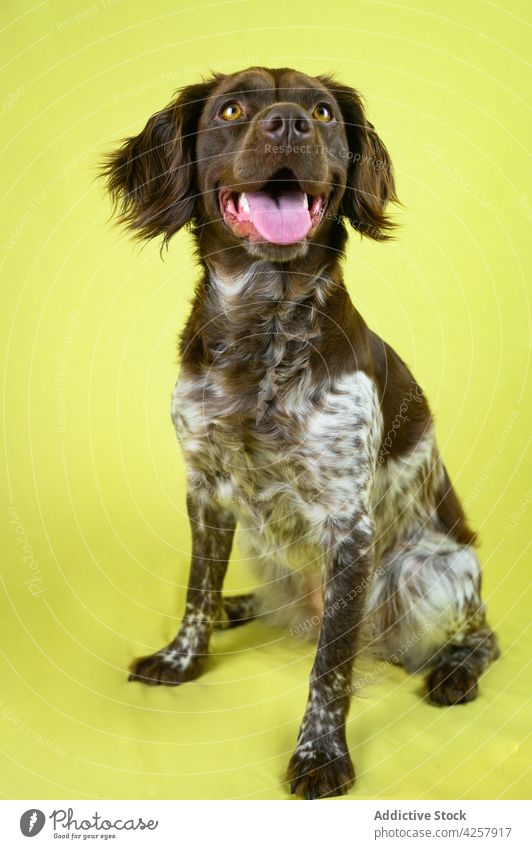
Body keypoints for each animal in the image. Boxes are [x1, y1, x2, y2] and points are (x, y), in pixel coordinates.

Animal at [103, 64, 498, 796]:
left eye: (321, 111)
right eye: (231, 109)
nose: (289, 123)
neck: (263, 326)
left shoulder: (350, 526)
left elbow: (331, 665)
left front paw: (321, 755)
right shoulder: (205, 490)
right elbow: (196, 593)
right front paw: (181, 660)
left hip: (430, 572)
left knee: (482, 637)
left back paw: (454, 671)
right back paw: (239, 607)